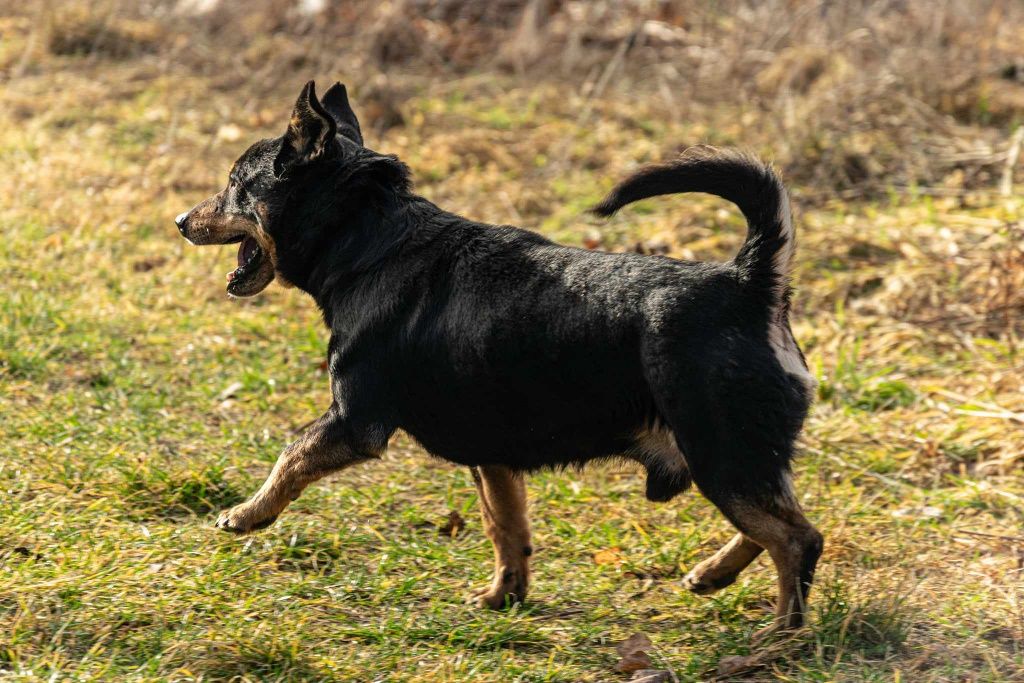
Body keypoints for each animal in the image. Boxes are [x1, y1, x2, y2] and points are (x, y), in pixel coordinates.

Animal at [176, 81, 823, 634]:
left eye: (235, 184)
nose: (181, 220)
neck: (371, 242)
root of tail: (750, 281)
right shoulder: (492, 459)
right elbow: (506, 527)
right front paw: (504, 596)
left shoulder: (355, 422)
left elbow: (292, 455)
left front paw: (248, 513)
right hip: (739, 459)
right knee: (778, 523)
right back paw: (714, 575)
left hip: (720, 452)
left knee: (797, 539)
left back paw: (779, 635)